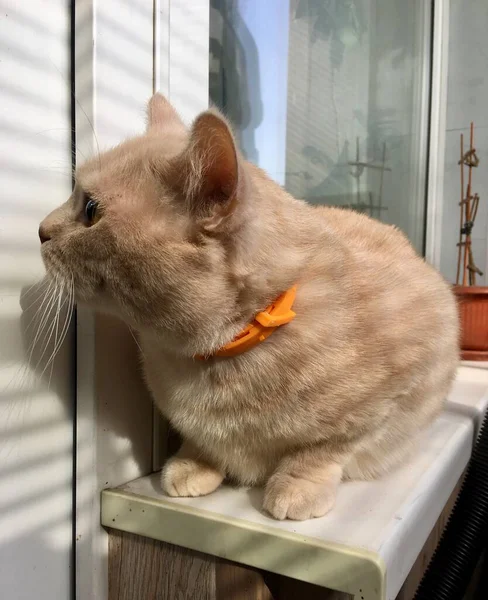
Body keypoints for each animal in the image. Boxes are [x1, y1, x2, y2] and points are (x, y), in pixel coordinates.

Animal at [40, 94, 460, 520]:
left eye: (90, 209)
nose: (40, 230)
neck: (216, 360)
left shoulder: (395, 391)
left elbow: (324, 449)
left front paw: (298, 485)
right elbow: (200, 440)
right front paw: (194, 463)